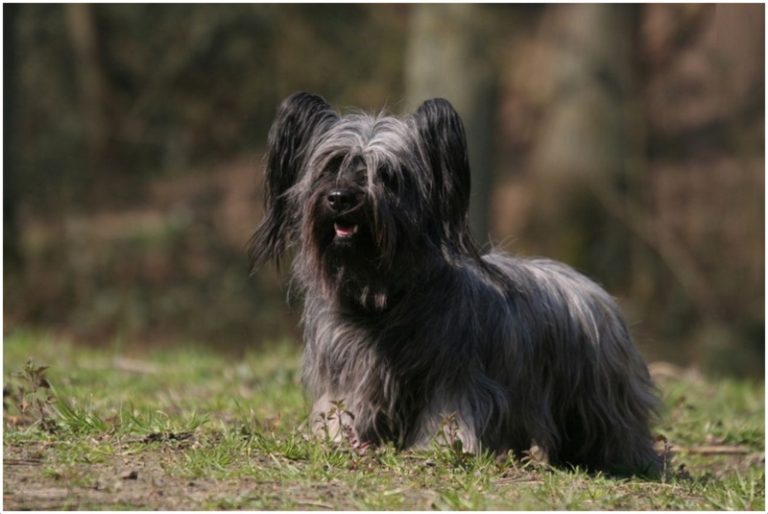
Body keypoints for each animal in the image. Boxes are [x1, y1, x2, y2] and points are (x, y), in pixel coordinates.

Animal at [250, 92, 660, 476]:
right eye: (331, 166)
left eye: (387, 175)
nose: (340, 198)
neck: (384, 301)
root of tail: (592, 288)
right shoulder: (348, 371)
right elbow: (341, 405)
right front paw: (336, 437)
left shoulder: (454, 374)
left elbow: (449, 410)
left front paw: (441, 447)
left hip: (598, 395)